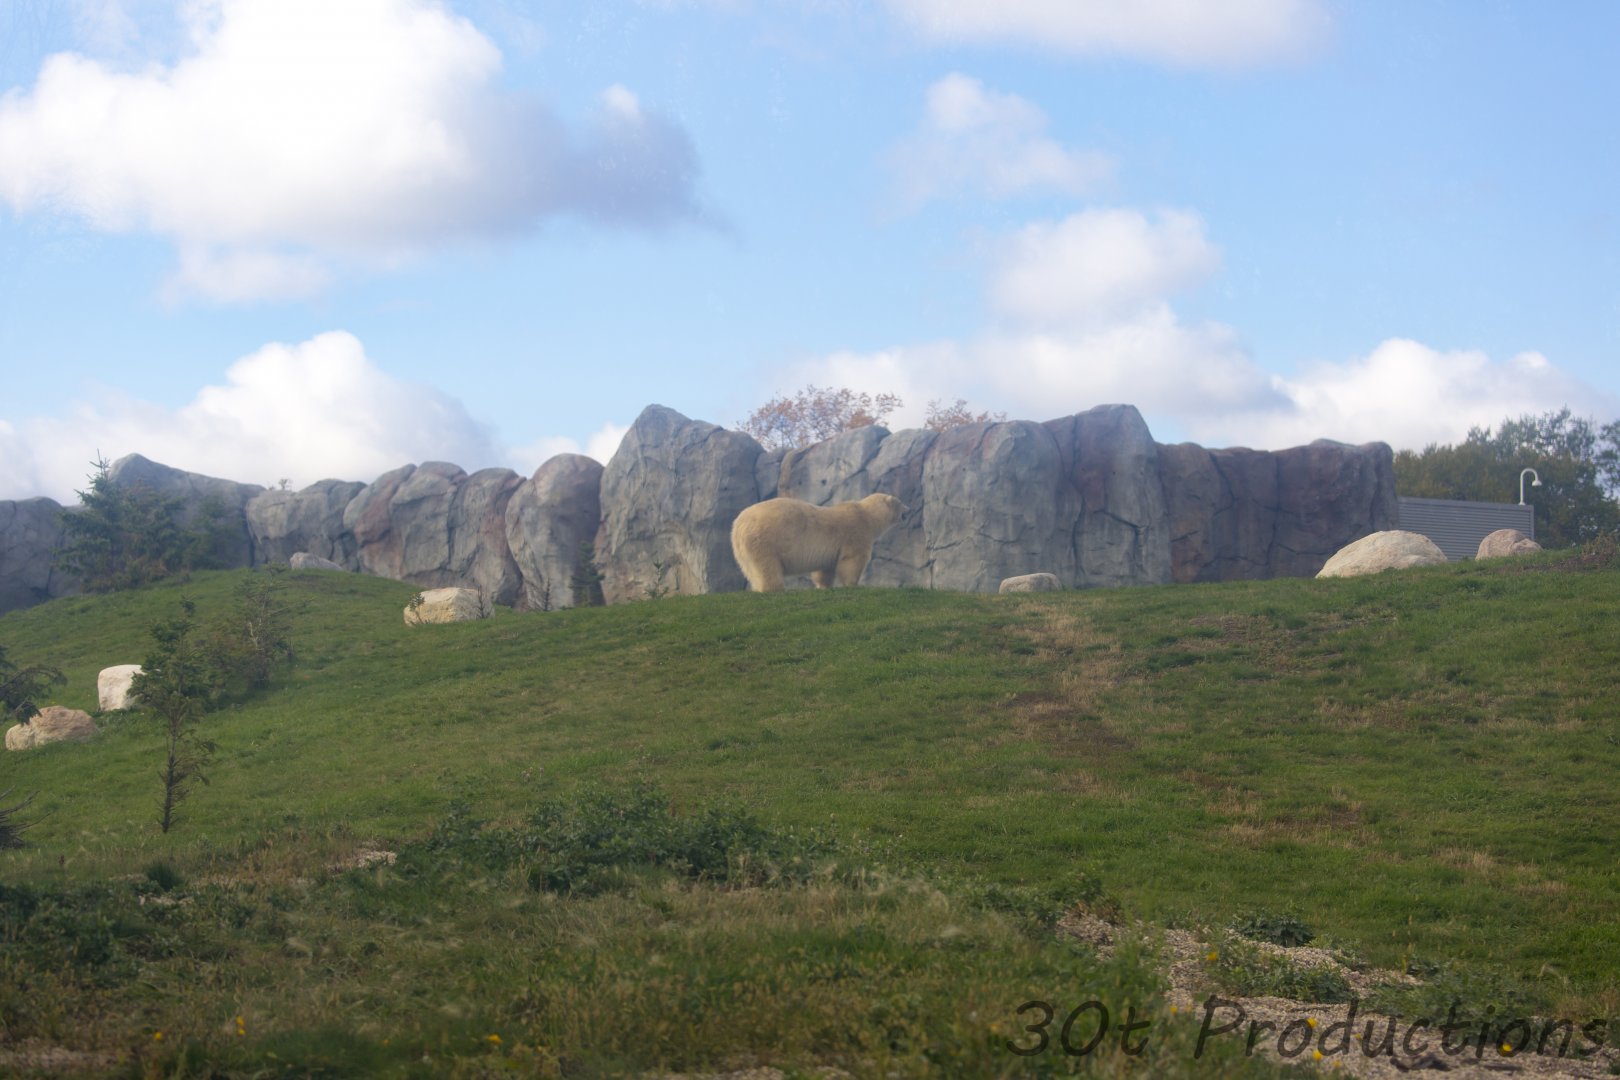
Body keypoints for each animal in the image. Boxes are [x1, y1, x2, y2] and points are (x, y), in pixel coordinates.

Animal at [730, 493, 906, 592]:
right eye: (901, 503)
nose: (908, 509)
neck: (866, 515)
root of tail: (738, 525)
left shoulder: (831, 549)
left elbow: (826, 567)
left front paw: (824, 586)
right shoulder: (855, 534)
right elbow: (852, 561)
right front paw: (853, 584)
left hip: (744, 550)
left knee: (753, 569)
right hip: (765, 540)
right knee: (767, 566)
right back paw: (775, 588)